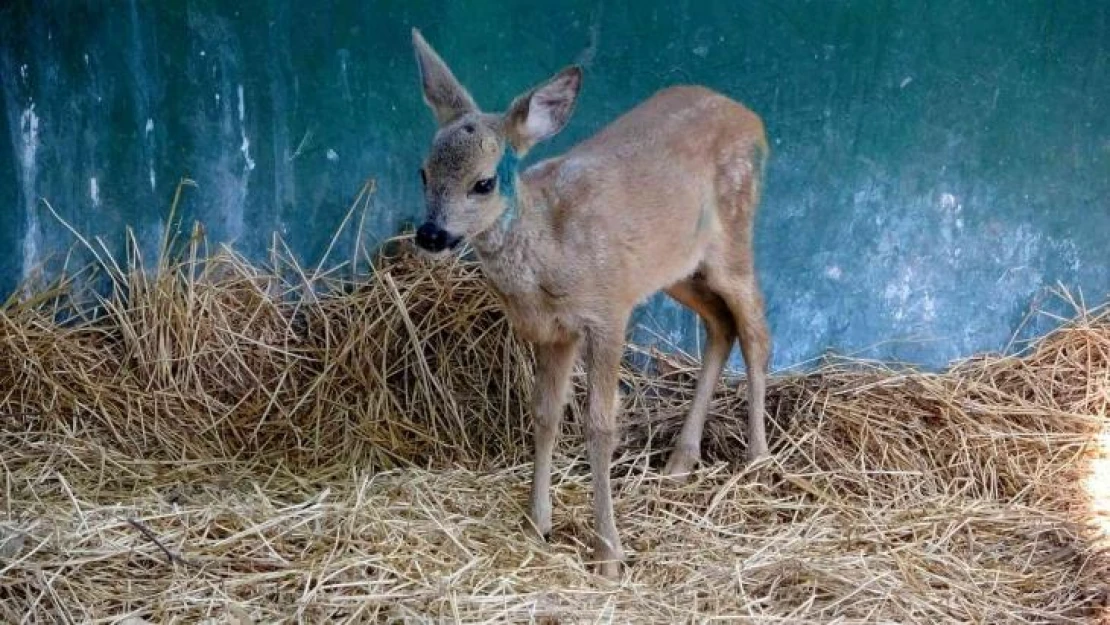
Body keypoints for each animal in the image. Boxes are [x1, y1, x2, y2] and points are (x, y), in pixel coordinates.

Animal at [410, 28, 772, 577]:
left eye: (483, 182)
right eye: (423, 172)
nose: (431, 234)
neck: (549, 251)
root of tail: (754, 120)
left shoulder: (607, 311)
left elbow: (600, 426)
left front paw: (608, 555)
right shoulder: (554, 331)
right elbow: (544, 414)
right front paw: (537, 524)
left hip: (733, 234)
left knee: (756, 329)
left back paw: (758, 459)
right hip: (676, 267)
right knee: (721, 325)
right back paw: (680, 462)